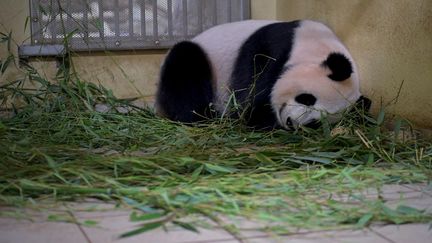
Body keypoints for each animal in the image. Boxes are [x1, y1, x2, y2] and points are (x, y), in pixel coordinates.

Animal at [156, 19, 372, 130]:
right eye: (307, 98)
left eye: (315, 123)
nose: (291, 122)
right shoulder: (270, 48)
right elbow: (250, 94)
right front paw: (257, 117)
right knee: (185, 65)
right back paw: (203, 117)